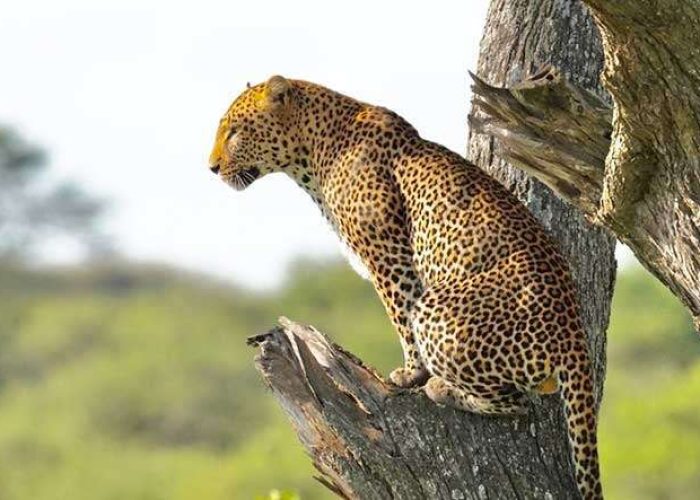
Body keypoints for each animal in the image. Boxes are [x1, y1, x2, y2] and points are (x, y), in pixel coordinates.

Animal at [208, 75, 603, 500]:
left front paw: (412, 374)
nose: (212, 168)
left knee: (516, 401)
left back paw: (442, 388)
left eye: (235, 132)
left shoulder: (389, 254)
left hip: (439, 308)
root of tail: (574, 336)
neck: (314, 151)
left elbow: (401, 314)